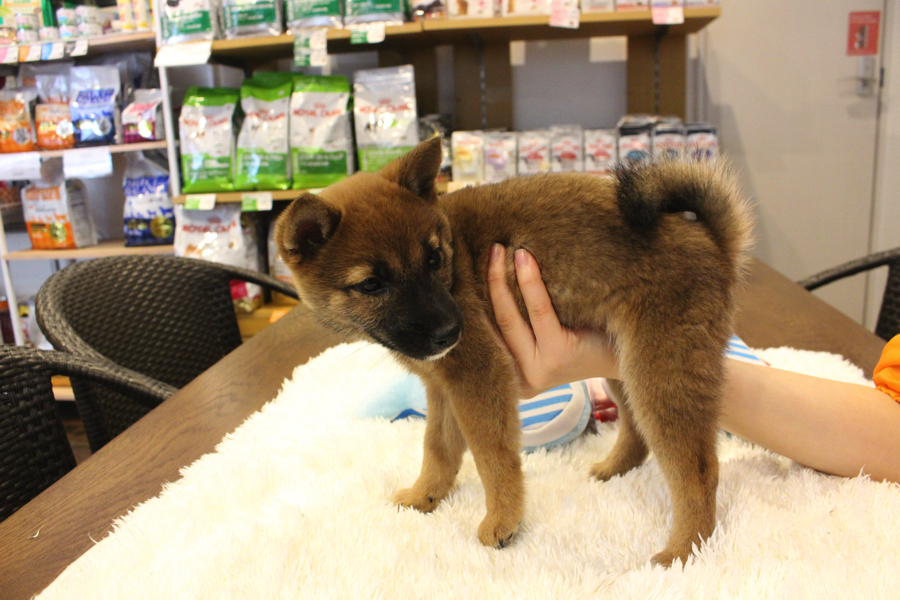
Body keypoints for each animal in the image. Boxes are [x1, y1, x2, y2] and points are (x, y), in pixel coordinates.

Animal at [274, 137, 752, 568]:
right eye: (372, 284)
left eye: (433, 259)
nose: (451, 331)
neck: (458, 262)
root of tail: (711, 239)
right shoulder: (444, 388)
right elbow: (437, 447)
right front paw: (425, 494)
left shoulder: (479, 377)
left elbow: (493, 458)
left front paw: (502, 520)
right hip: (623, 364)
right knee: (635, 430)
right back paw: (615, 468)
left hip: (662, 372)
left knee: (699, 472)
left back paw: (684, 551)